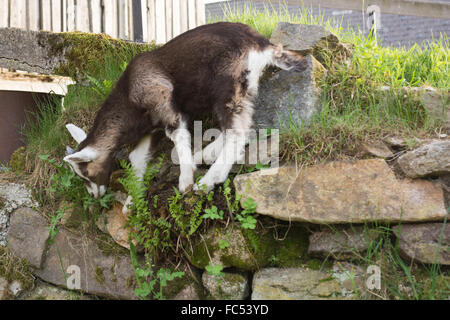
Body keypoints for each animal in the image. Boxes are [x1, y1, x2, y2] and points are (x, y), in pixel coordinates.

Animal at [63, 21, 308, 212]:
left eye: (85, 172)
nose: (94, 195)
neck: (128, 100)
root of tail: (263, 44)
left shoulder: (161, 98)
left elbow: (177, 135)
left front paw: (186, 180)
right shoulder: (151, 127)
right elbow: (137, 158)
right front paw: (132, 200)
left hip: (228, 82)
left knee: (237, 132)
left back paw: (209, 180)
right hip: (244, 88)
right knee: (242, 127)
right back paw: (206, 154)